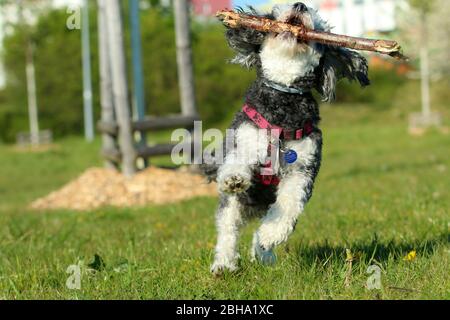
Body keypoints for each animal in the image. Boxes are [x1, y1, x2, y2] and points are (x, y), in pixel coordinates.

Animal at [206, 1, 370, 276]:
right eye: (275, 11)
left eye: (317, 20)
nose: (300, 5)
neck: (283, 100)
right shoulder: (244, 135)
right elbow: (237, 160)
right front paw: (235, 177)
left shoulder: (302, 168)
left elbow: (289, 205)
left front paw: (271, 235)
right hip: (235, 204)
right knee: (227, 230)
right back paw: (224, 264)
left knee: (261, 227)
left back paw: (263, 252)